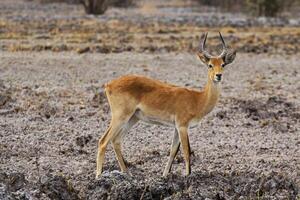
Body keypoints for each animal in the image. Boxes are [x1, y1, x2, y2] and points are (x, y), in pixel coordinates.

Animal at [96, 32, 237, 178]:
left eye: (223, 64)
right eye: (210, 65)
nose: (218, 75)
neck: (198, 99)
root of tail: (109, 84)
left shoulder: (176, 127)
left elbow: (173, 151)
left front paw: (165, 175)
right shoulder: (182, 126)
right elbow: (186, 151)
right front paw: (187, 175)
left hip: (132, 118)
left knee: (116, 141)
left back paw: (127, 173)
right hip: (120, 117)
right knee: (103, 141)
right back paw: (99, 176)